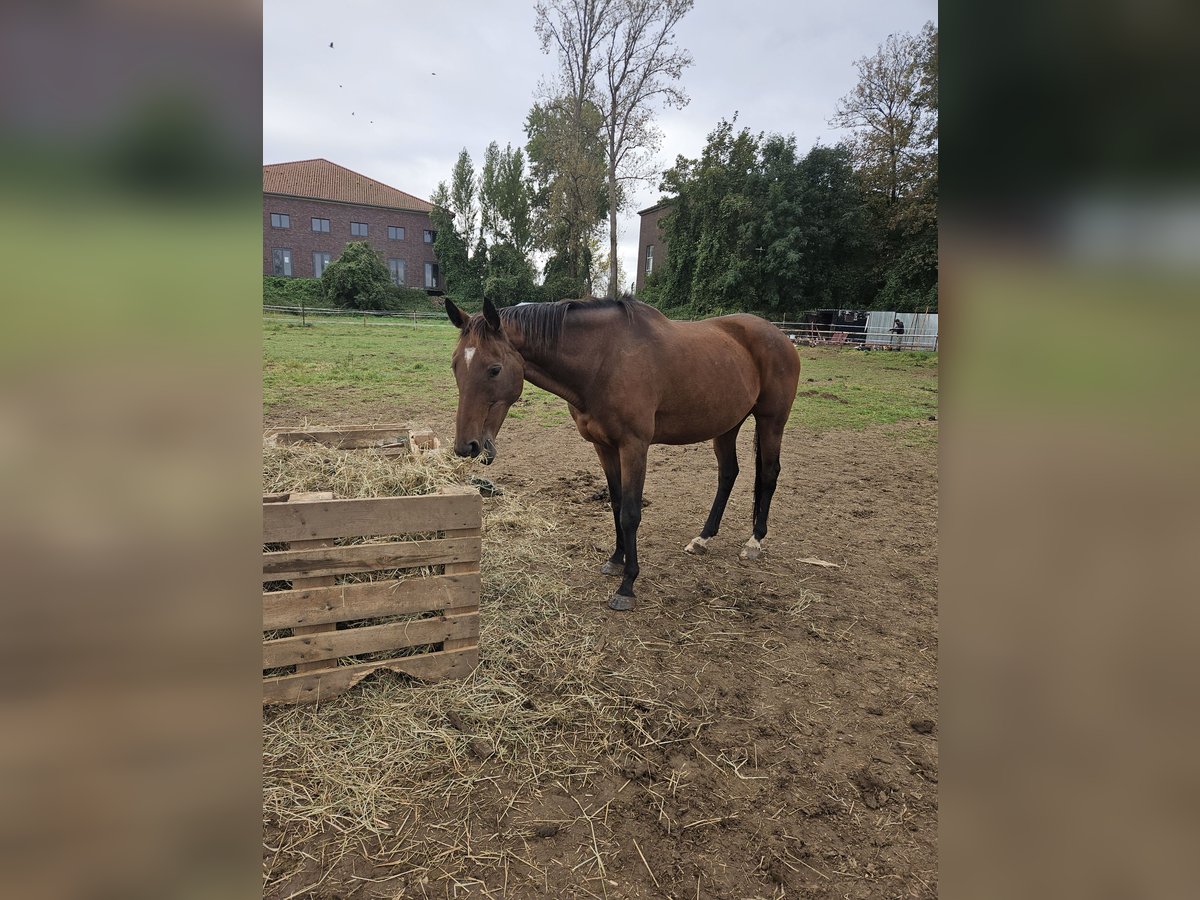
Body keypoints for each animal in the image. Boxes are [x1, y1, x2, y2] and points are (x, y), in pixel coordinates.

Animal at [446, 296, 801, 614]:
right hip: (727, 424)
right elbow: (616, 504)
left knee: (769, 473)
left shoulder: (634, 446)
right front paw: (616, 560)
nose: (468, 447)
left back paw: (754, 542)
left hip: (771, 421)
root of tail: (779, 335)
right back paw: (703, 538)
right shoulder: (604, 446)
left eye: (494, 369)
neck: (603, 360)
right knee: (728, 474)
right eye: (455, 366)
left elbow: (630, 512)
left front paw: (627, 586)